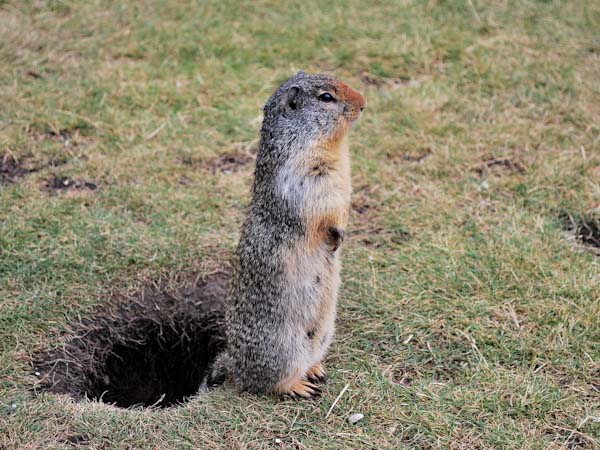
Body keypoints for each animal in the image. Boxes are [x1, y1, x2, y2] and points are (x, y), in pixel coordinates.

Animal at [214, 72, 366, 400]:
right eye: (326, 97)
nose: (363, 103)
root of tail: (234, 366)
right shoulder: (307, 178)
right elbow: (323, 212)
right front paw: (337, 236)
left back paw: (315, 369)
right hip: (281, 347)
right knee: (267, 384)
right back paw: (300, 386)